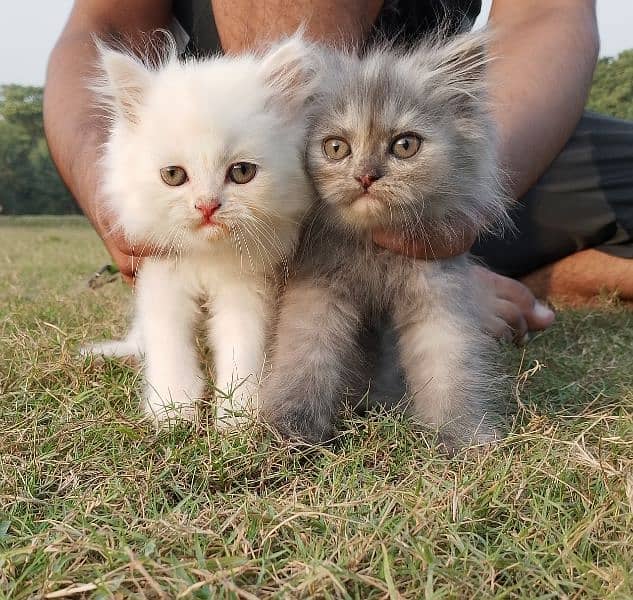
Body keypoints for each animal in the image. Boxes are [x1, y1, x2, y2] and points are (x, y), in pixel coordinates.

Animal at [85, 36, 316, 426]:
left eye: (241, 172)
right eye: (173, 175)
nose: (207, 206)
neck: (206, 257)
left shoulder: (247, 288)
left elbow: (242, 349)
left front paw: (238, 414)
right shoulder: (160, 279)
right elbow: (169, 346)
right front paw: (172, 410)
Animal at [260, 29, 512, 450]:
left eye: (405, 145)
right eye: (336, 147)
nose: (366, 176)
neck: (374, 251)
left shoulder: (437, 295)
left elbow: (449, 367)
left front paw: (460, 437)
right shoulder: (317, 292)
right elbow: (305, 360)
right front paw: (290, 429)